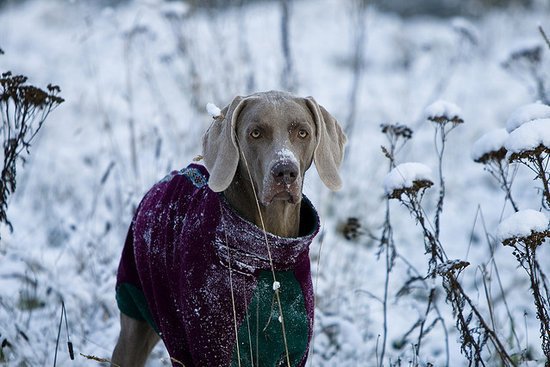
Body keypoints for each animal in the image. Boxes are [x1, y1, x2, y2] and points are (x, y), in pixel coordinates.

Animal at [111, 91, 344, 367]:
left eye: (302, 133)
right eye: (255, 133)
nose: (285, 171)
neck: (269, 253)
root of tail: (170, 176)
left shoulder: (292, 352)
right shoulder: (213, 350)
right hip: (135, 311)